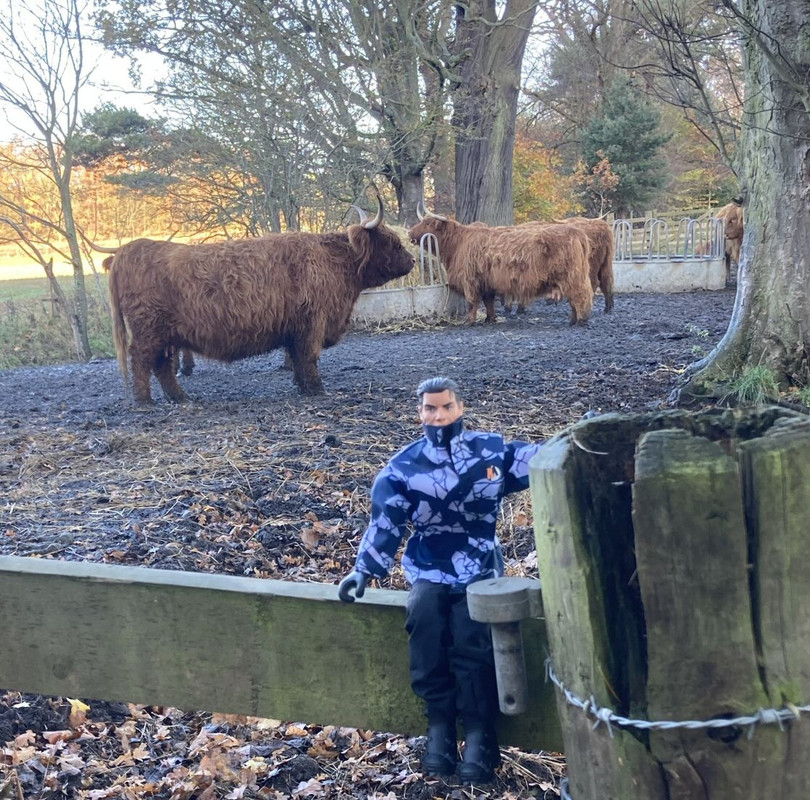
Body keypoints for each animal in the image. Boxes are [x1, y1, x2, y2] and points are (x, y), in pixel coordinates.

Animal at [105, 200, 410, 400]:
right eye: (393, 242)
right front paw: (318, 390)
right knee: (141, 360)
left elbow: (297, 359)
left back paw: (181, 399)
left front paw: (302, 388)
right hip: (149, 330)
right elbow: (309, 357)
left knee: (162, 366)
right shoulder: (313, 322)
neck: (334, 263)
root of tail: (131, 249)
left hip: (166, 335)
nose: (412, 260)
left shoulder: (295, 328)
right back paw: (145, 401)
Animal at [410, 209, 592, 328]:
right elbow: (488, 302)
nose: (410, 233)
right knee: (574, 299)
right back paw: (572, 320)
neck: (458, 244)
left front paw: (470, 321)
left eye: (427, 223)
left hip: (572, 277)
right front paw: (490, 319)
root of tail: (577, 232)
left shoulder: (470, 281)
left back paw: (580, 321)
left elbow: (472, 303)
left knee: (580, 296)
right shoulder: (486, 283)